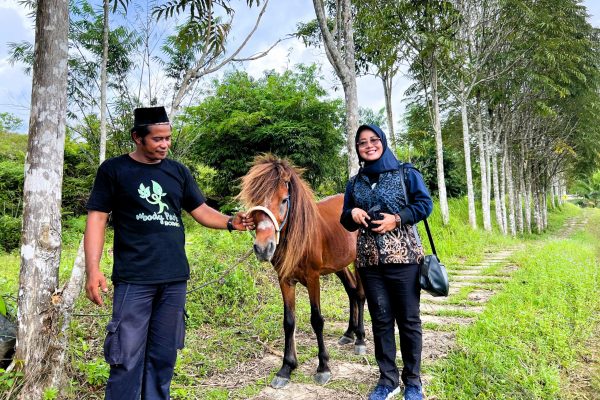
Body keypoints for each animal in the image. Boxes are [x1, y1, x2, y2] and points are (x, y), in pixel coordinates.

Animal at [239, 155, 366, 390]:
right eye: (255, 201)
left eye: (283, 200)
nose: (263, 248)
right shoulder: (285, 280)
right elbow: (289, 322)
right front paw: (286, 368)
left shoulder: (313, 278)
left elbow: (317, 320)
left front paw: (323, 367)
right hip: (340, 265)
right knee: (352, 291)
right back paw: (348, 333)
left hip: (357, 262)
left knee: (360, 295)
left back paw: (360, 339)